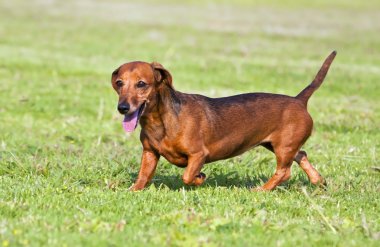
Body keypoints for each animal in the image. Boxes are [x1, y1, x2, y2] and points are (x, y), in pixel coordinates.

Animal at [111, 51, 336, 191]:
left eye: (141, 84)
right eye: (119, 83)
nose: (122, 108)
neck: (162, 120)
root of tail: (299, 100)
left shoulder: (198, 154)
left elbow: (187, 176)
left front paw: (200, 178)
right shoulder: (150, 153)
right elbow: (143, 175)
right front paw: (132, 190)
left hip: (283, 147)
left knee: (284, 172)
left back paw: (261, 190)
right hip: (279, 145)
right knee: (302, 155)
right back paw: (318, 181)